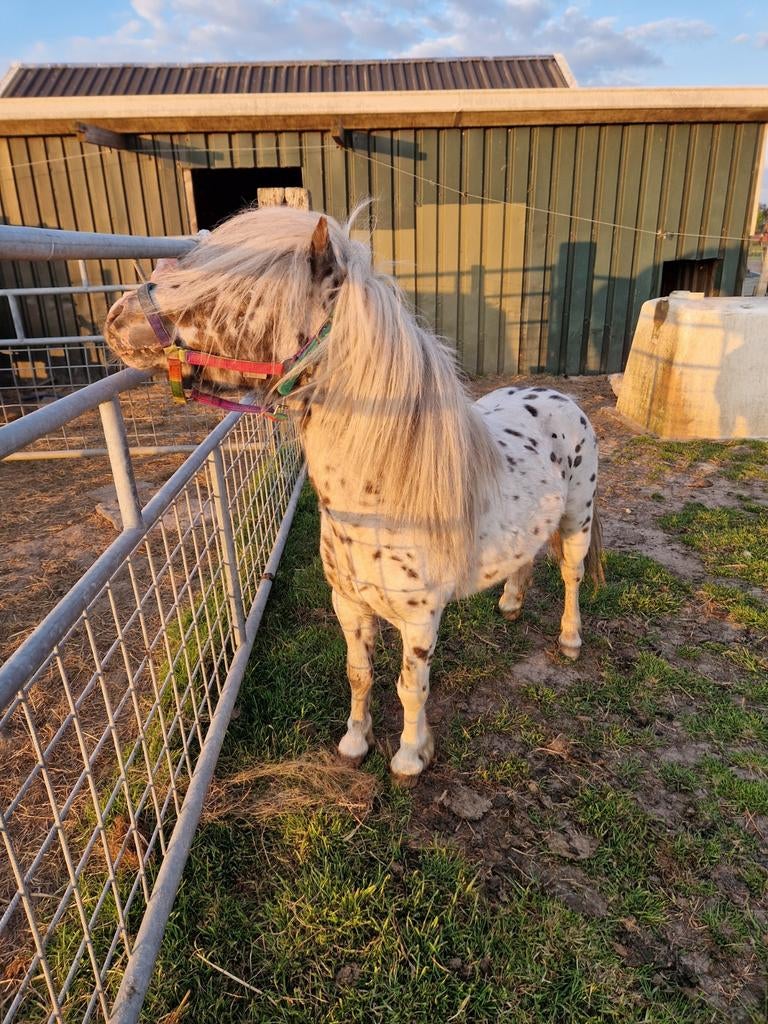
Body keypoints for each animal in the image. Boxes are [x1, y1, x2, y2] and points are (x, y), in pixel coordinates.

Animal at [104, 206, 603, 785]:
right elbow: (359, 674)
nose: (116, 318)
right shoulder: (347, 604)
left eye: (241, 299)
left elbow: (411, 688)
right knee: (525, 560)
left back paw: (570, 640)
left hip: (577, 522)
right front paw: (355, 742)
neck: (381, 495)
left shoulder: (420, 620)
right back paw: (510, 604)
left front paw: (409, 757)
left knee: (570, 575)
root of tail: (562, 397)